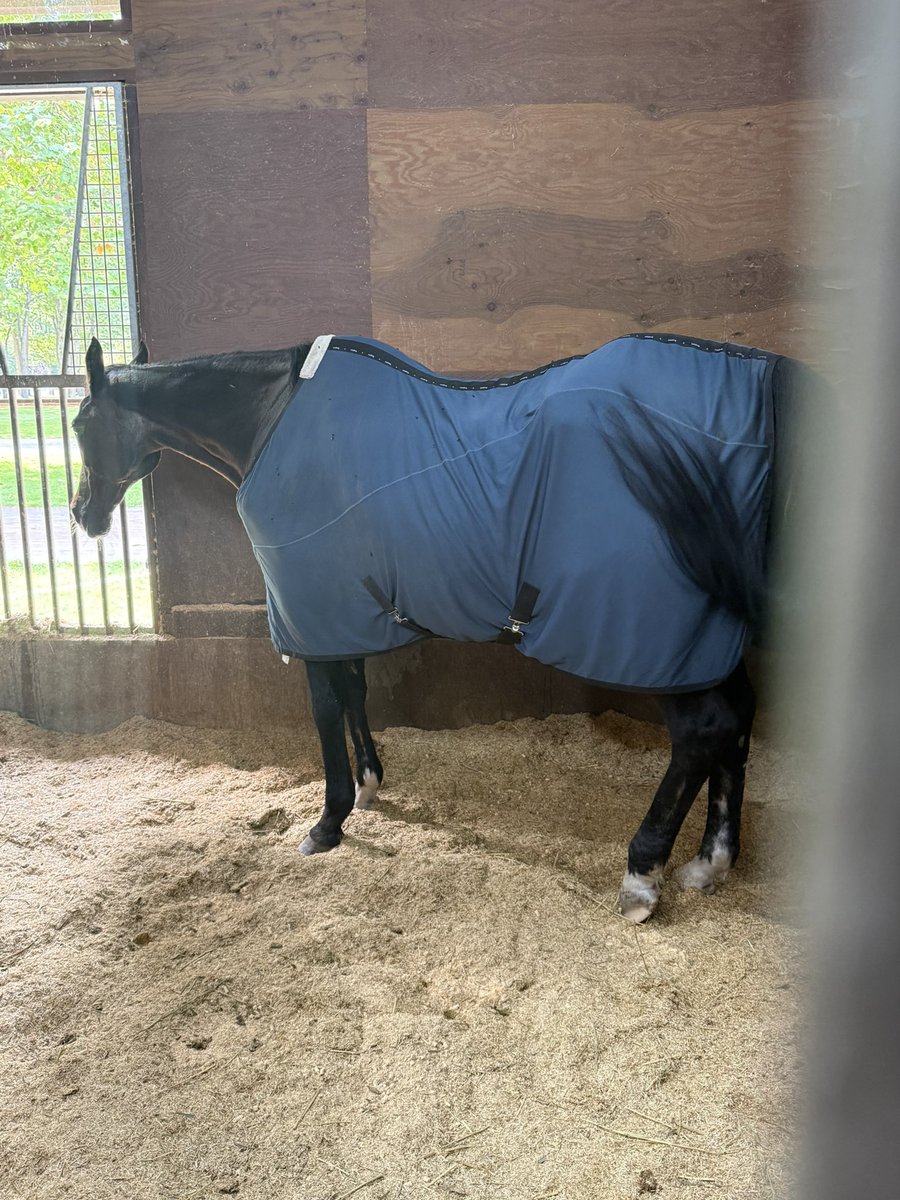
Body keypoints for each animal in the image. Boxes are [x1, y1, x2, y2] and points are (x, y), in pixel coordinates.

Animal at [70, 331, 808, 923]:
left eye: (78, 425)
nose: (82, 514)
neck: (273, 417)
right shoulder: (344, 612)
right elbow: (356, 692)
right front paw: (369, 785)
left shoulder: (311, 615)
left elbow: (324, 709)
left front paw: (328, 821)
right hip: (707, 638)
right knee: (735, 720)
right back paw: (710, 862)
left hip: (663, 638)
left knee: (700, 733)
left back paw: (642, 875)